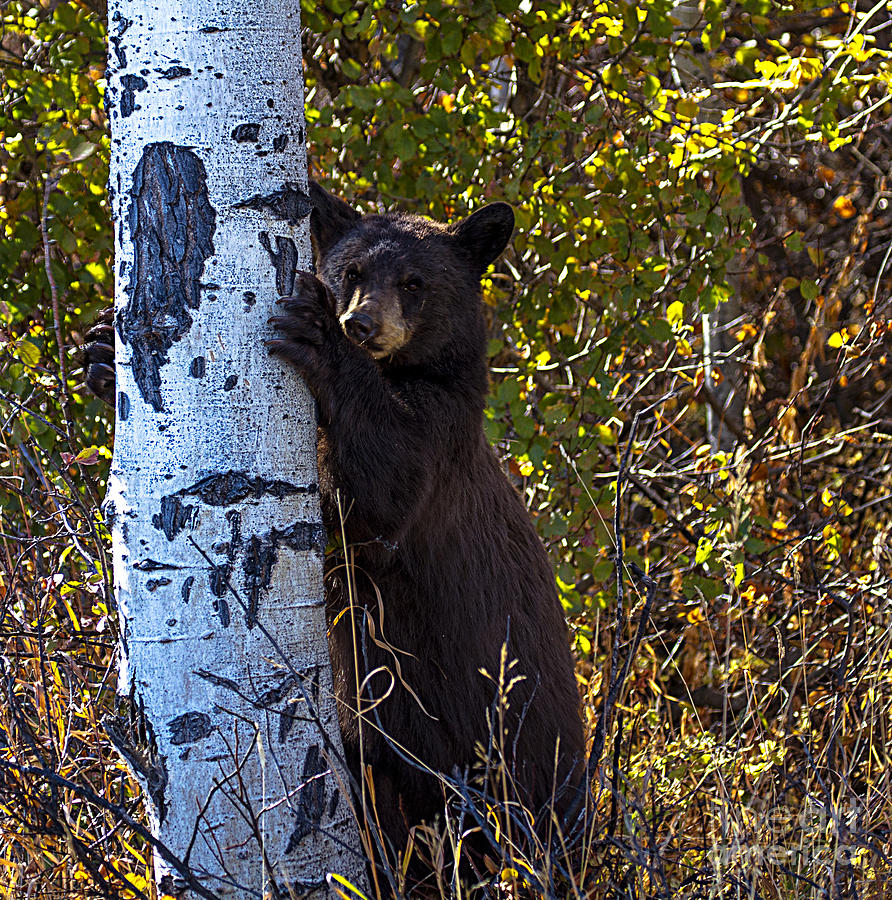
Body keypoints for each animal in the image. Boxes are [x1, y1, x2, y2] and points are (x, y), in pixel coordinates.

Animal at [84, 183, 585, 872]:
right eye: (351, 271)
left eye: (414, 282)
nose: (360, 323)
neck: (403, 371)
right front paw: (103, 352)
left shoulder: (441, 438)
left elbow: (382, 490)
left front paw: (318, 334)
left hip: (516, 748)